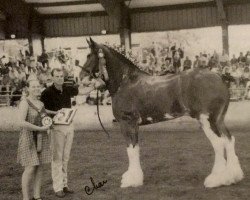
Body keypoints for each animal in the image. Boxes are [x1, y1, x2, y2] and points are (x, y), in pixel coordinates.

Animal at [83, 38, 243, 189]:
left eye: (90, 55)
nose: (82, 78)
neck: (126, 82)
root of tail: (220, 77)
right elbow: (135, 149)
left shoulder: (128, 123)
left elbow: (132, 149)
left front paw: (132, 180)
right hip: (218, 120)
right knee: (229, 140)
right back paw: (233, 176)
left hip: (207, 121)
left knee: (219, 144)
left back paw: (216, 180)